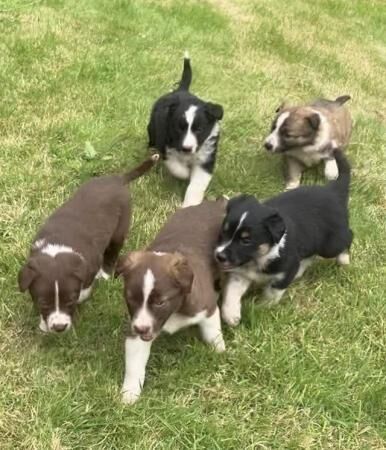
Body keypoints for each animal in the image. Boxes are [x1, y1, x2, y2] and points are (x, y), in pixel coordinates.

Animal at [18, 155, 158, 334]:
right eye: (42, 302)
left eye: (70, 301)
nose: (59, 327)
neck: (58, 246)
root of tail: (118, 179)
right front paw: (44, 323)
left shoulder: (91, 265)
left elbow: (85, 287)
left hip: (120, 228)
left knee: (112, 253)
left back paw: (105, 274)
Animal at [117, 200, 226, 404]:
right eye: (131, 298)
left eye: (160, 302)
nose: (141, 329)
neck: (176, 310)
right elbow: (135, 365)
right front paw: (129, 394)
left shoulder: (206, 307)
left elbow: (213, 333)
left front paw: (220, 352)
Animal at [149, 53, 226, 208]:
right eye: (179, 128)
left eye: (200, 129)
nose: (186, 148)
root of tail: (181, 90)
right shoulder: (166, 147)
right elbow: (177, 167)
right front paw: (185, 173)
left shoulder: (206, 159)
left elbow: (196, 185)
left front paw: (190, 205)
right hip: (152, 128)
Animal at [214, 151, 352, 326]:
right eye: (224, 232)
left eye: (246, 240)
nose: (219, 256)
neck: (258, 259)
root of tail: (332, 191)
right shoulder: (240, 274)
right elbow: (230, 293)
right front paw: (231, 316)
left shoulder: (285, 272)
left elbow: (272, 293)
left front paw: (261, 307)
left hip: (330, 244)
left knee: (348, 237)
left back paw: (344, 260)